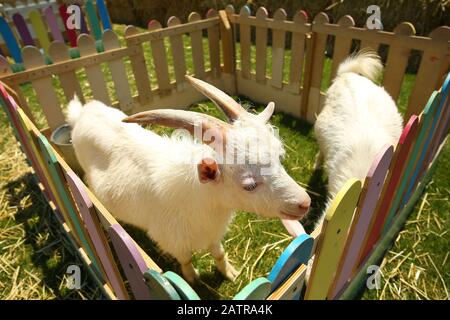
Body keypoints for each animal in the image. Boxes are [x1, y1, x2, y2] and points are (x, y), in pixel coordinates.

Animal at [68, 76, 312, 284]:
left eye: (280, 158)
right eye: (249, 185)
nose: (305, 203)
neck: (201, 200)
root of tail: (82, 113)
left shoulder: (213, 232)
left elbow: (219, 253)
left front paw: (230, 272)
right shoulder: (171, 240)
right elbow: (185, 259)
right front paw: (192, 278)